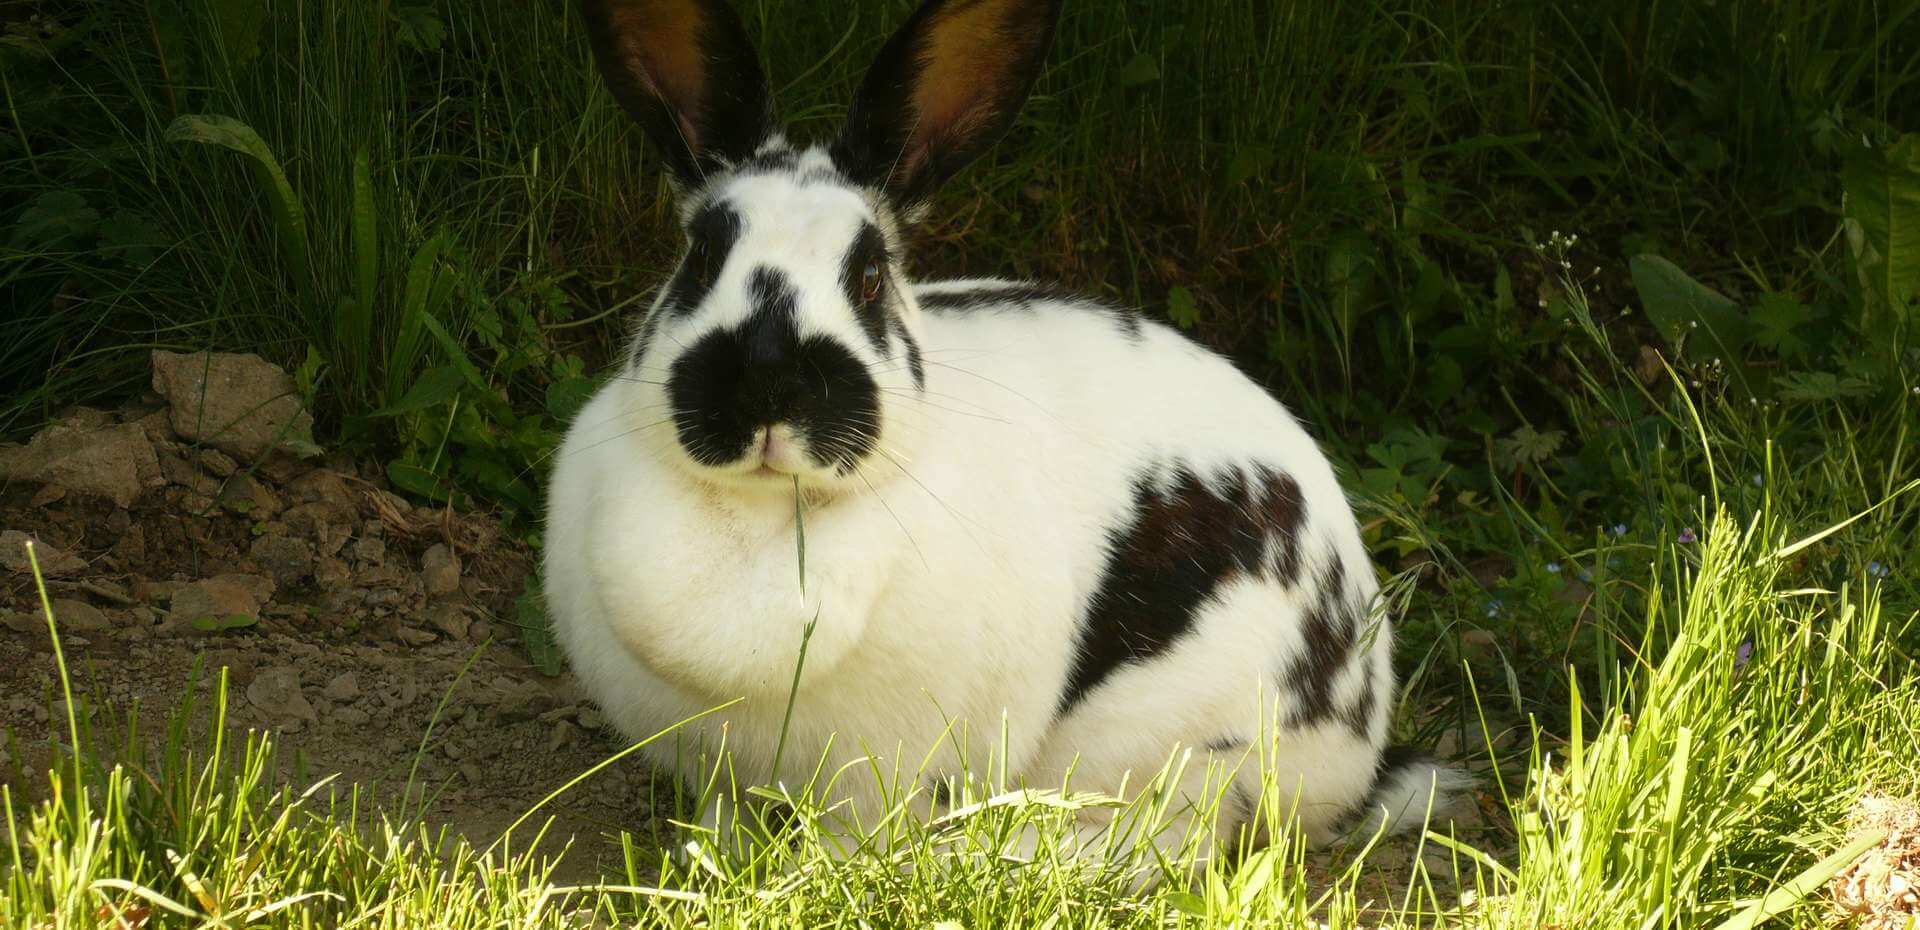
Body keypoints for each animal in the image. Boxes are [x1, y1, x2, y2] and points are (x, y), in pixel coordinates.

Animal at [545, 0, 1466, 872]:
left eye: (870, 275)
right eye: (700, 258)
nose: (769, 385)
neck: (769, 514)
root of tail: (1365, 750)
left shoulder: (886, 773)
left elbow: (858, 835)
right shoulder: (718, 767)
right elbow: (724, 812)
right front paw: (713, 856)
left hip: (1199, 741)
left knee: (1181, 841)